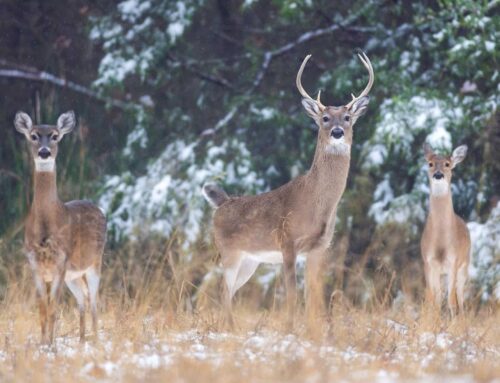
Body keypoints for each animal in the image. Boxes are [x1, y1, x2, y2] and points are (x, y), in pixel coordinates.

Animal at [14, 111, 106, 344]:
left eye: (55, 136)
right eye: (33, 135)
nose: (44, 152)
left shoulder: (61, 261)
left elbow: (53, 309)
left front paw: (52, 345)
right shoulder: (35, 264)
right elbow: (42, 309)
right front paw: (44, 343)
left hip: (94, 262)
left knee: (94, 300)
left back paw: (95, 340)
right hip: (73, 276)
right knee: (82, 299)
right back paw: (81, 340)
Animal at [201, 52, 374, 326]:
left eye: (347, 118)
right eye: (325, 118)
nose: (337, 132)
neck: (316, 203)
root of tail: (222, 203)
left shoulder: (319, 248)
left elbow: (313, 295)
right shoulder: (288, 241)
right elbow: (292, 294)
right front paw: (290, 327)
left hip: (251, 259)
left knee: (230, 290)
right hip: (229, 250)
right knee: (223, 289)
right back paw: (229, 326)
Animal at [420, 142, 470, 316]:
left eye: (447, 164)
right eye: (430, 164)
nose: (438, 174)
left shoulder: (453, 261)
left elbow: (451, 301)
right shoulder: (428, 262)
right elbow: (431, 298)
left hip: (464, 265)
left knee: (460, 296)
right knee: (438, 295)